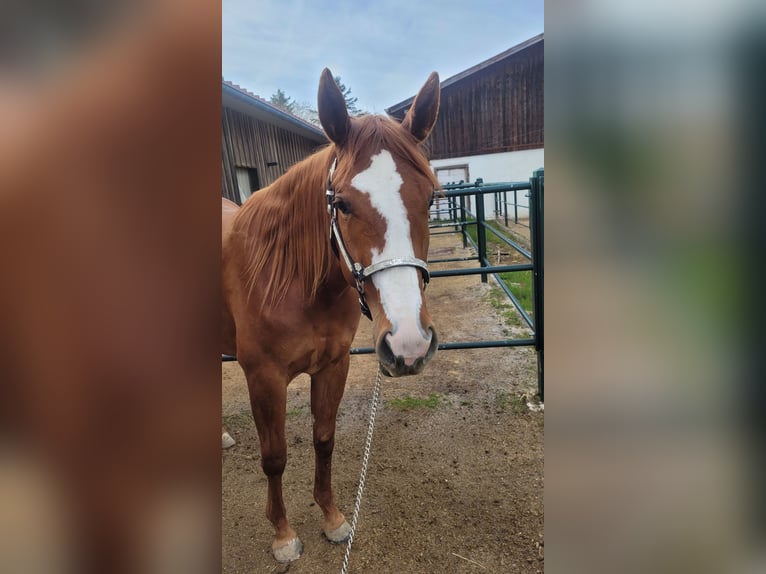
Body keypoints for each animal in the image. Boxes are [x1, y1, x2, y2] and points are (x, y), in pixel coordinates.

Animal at [222, 70, 440, 564]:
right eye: (342, 204)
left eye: (431, 198)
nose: (409, 344)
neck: (290, 277)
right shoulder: (263, 377)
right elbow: (275, 456)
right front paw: (283, 535)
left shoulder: (332, 365)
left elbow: (324, 439)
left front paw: (333, 517)